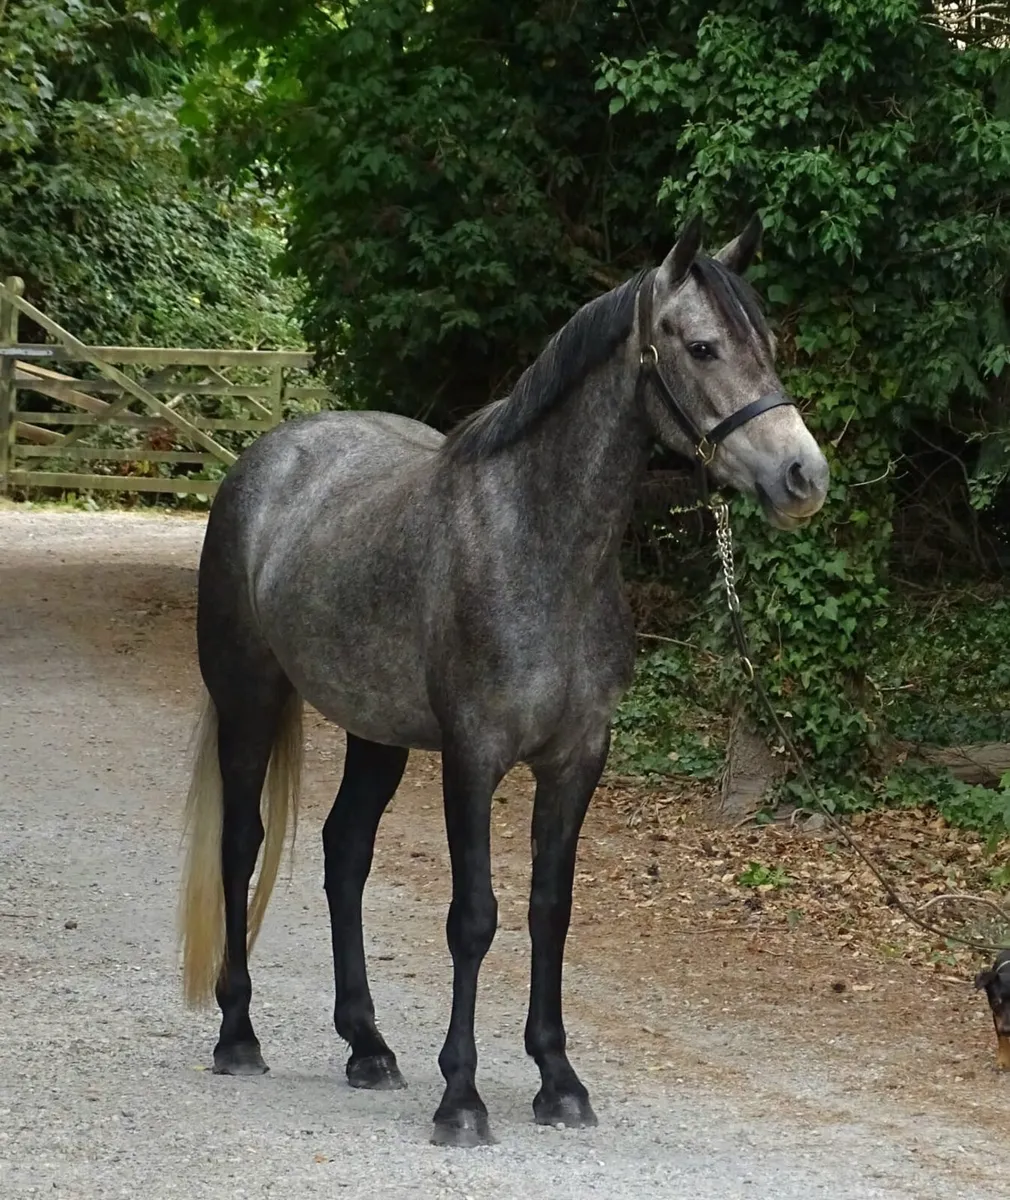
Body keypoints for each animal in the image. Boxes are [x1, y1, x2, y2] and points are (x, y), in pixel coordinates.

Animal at [179, 213, 829, 1147]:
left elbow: (549, 909)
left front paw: (558, 1080)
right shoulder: (473, 756)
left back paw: (367, 1045)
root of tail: (265, 459)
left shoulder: (577, 757)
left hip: (375, 732)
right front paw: (463, 1098)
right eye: (703, 347)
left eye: (766, 345)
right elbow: (474, 917)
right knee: (242, 844)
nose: (803, 477)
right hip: (249, 702)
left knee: (346, 853)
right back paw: (238, 1034)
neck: (537, 544)